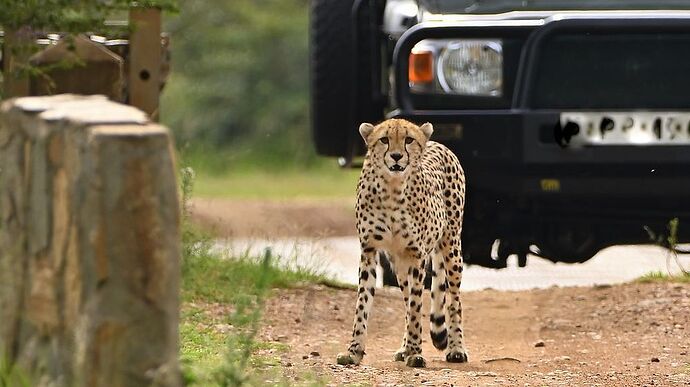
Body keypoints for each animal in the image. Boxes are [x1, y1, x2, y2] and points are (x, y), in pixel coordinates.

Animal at [334, 119, 468, 370]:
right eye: (384, 139)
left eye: (409, 140)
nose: (396, 156)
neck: (392, 189)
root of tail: (437, 142)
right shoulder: (369, 251)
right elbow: (363, 304)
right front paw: (354, 352)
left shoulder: (417, 254)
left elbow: (417, 306)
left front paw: (415, 353)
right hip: (399, 264)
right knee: (407, 298)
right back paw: (403, 348)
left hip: (451, 245)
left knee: (453, 299)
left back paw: (456, 349)